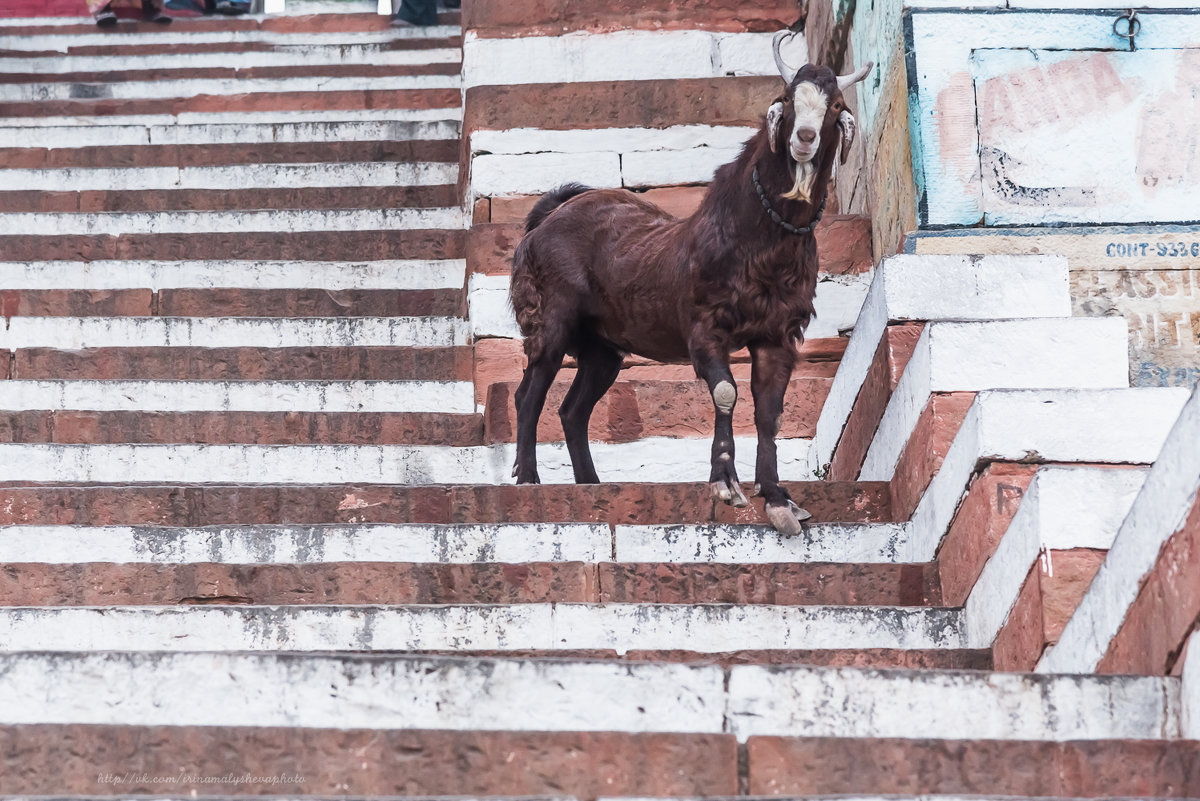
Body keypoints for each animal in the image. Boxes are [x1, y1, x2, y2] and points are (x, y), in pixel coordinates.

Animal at [506, 37, 873, 537]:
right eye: (785, 100)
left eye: (835, 106)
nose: (804, 138)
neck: (756, 241)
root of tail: (546, 218)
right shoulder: (705, 327)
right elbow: (726, 393)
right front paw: (725, 485)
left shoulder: (778, 335)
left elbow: (770, 412)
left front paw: (779, 500)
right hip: (551, 321)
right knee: (529, 394)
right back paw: (529, 480)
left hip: (602, 349)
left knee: (573, 410)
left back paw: (591, 484)